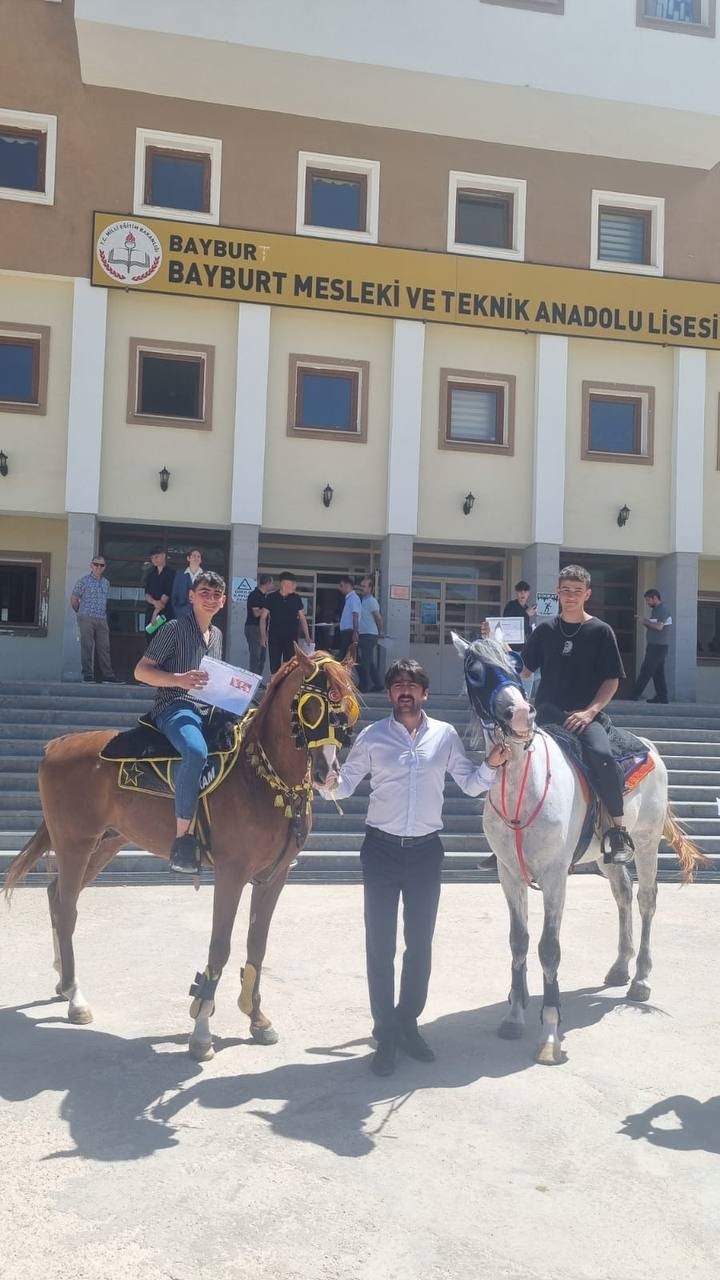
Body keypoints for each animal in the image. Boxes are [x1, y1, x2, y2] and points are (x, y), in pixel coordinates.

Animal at [2, 650, 356, 1059]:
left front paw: (257, 1019)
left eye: (345, 707)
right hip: (76, 842)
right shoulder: (232, 874)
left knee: (56, 895)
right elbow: (219, 947)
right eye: (312, 705)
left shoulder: (275, 876)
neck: (261, 777)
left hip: (104, 843)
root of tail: (56, 744)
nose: (328, 772)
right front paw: (201, 1028)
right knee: (65, 909)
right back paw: (75, 997)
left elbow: (257, 946)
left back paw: (63, 980)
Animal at [448, 634, 702, 1064]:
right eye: (475, 671)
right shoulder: (508, 874)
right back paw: (620, 967)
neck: (524, 786)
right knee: (623, 895)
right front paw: (514, 1013)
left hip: (647, 842)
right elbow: (518, 941)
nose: (521, 713)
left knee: (647, 900)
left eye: (513, 664)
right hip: (607, 856)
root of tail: (649, 746)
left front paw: (550, 1033)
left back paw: (640, 979)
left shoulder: (554, 877)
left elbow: (549, 949)